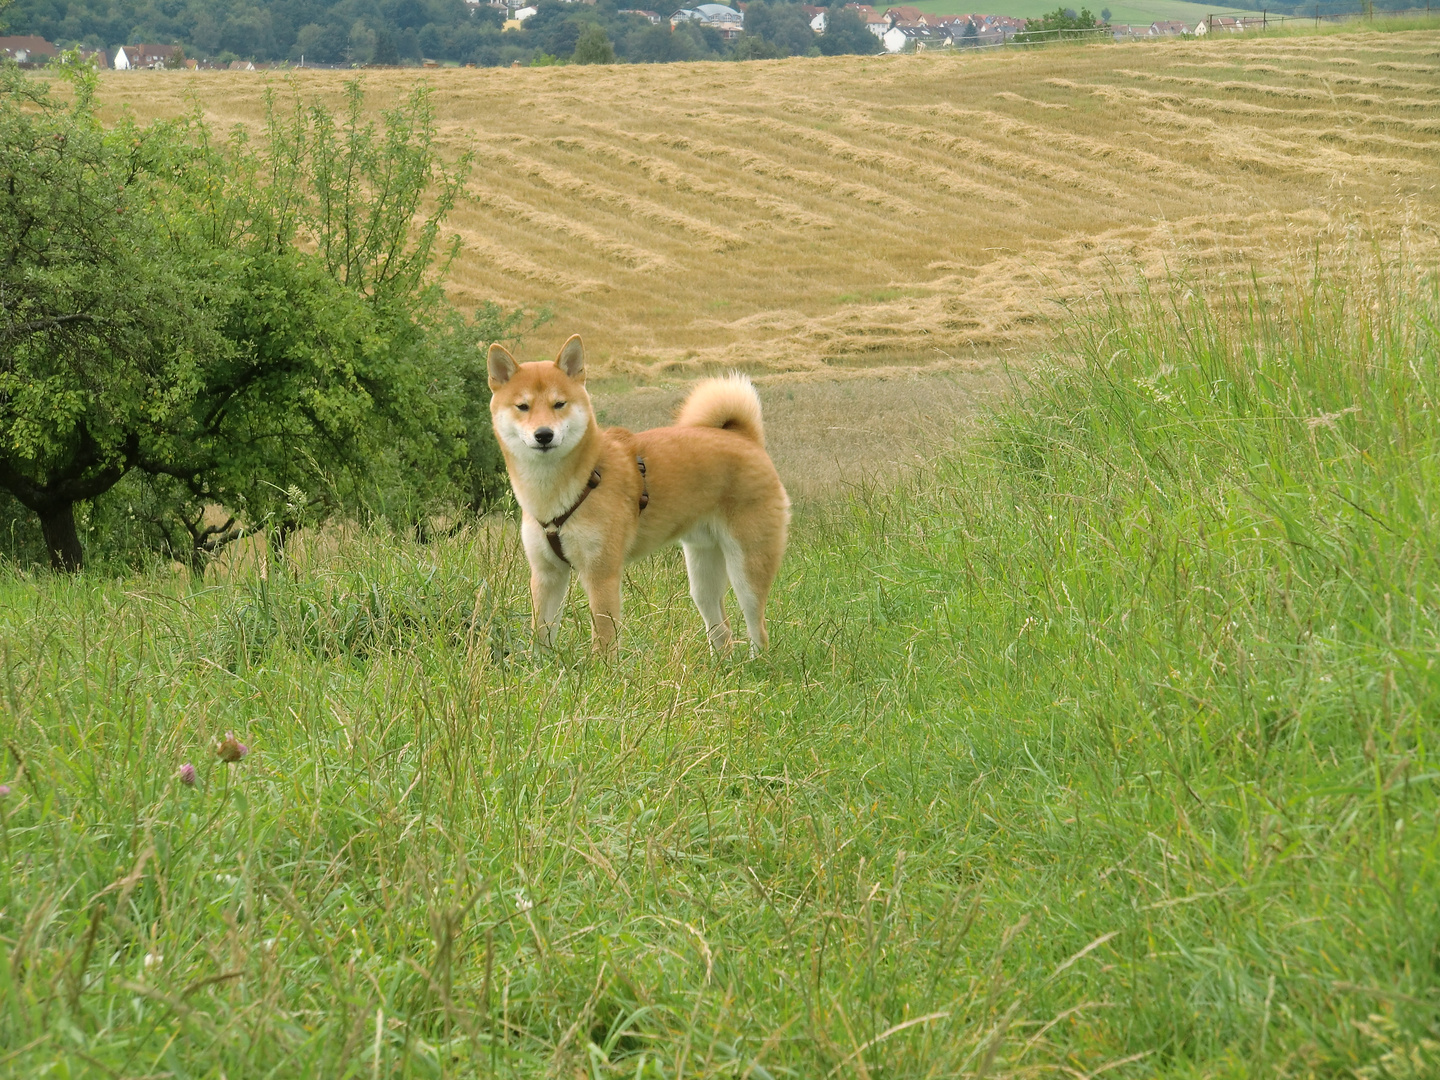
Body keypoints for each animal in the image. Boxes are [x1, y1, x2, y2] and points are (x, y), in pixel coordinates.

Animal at [492, 338, 789, 656]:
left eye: (559, 404)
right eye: (522, 406)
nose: (544, 434)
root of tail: (745, 438)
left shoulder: (602, 574)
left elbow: (604, 640)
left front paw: (601, 668)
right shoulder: (547, 574)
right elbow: (540, 637)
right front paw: (538, 665)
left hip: (747, 569)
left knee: (757, 629)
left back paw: (756, 662)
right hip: (702, 577)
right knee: (722, 630)